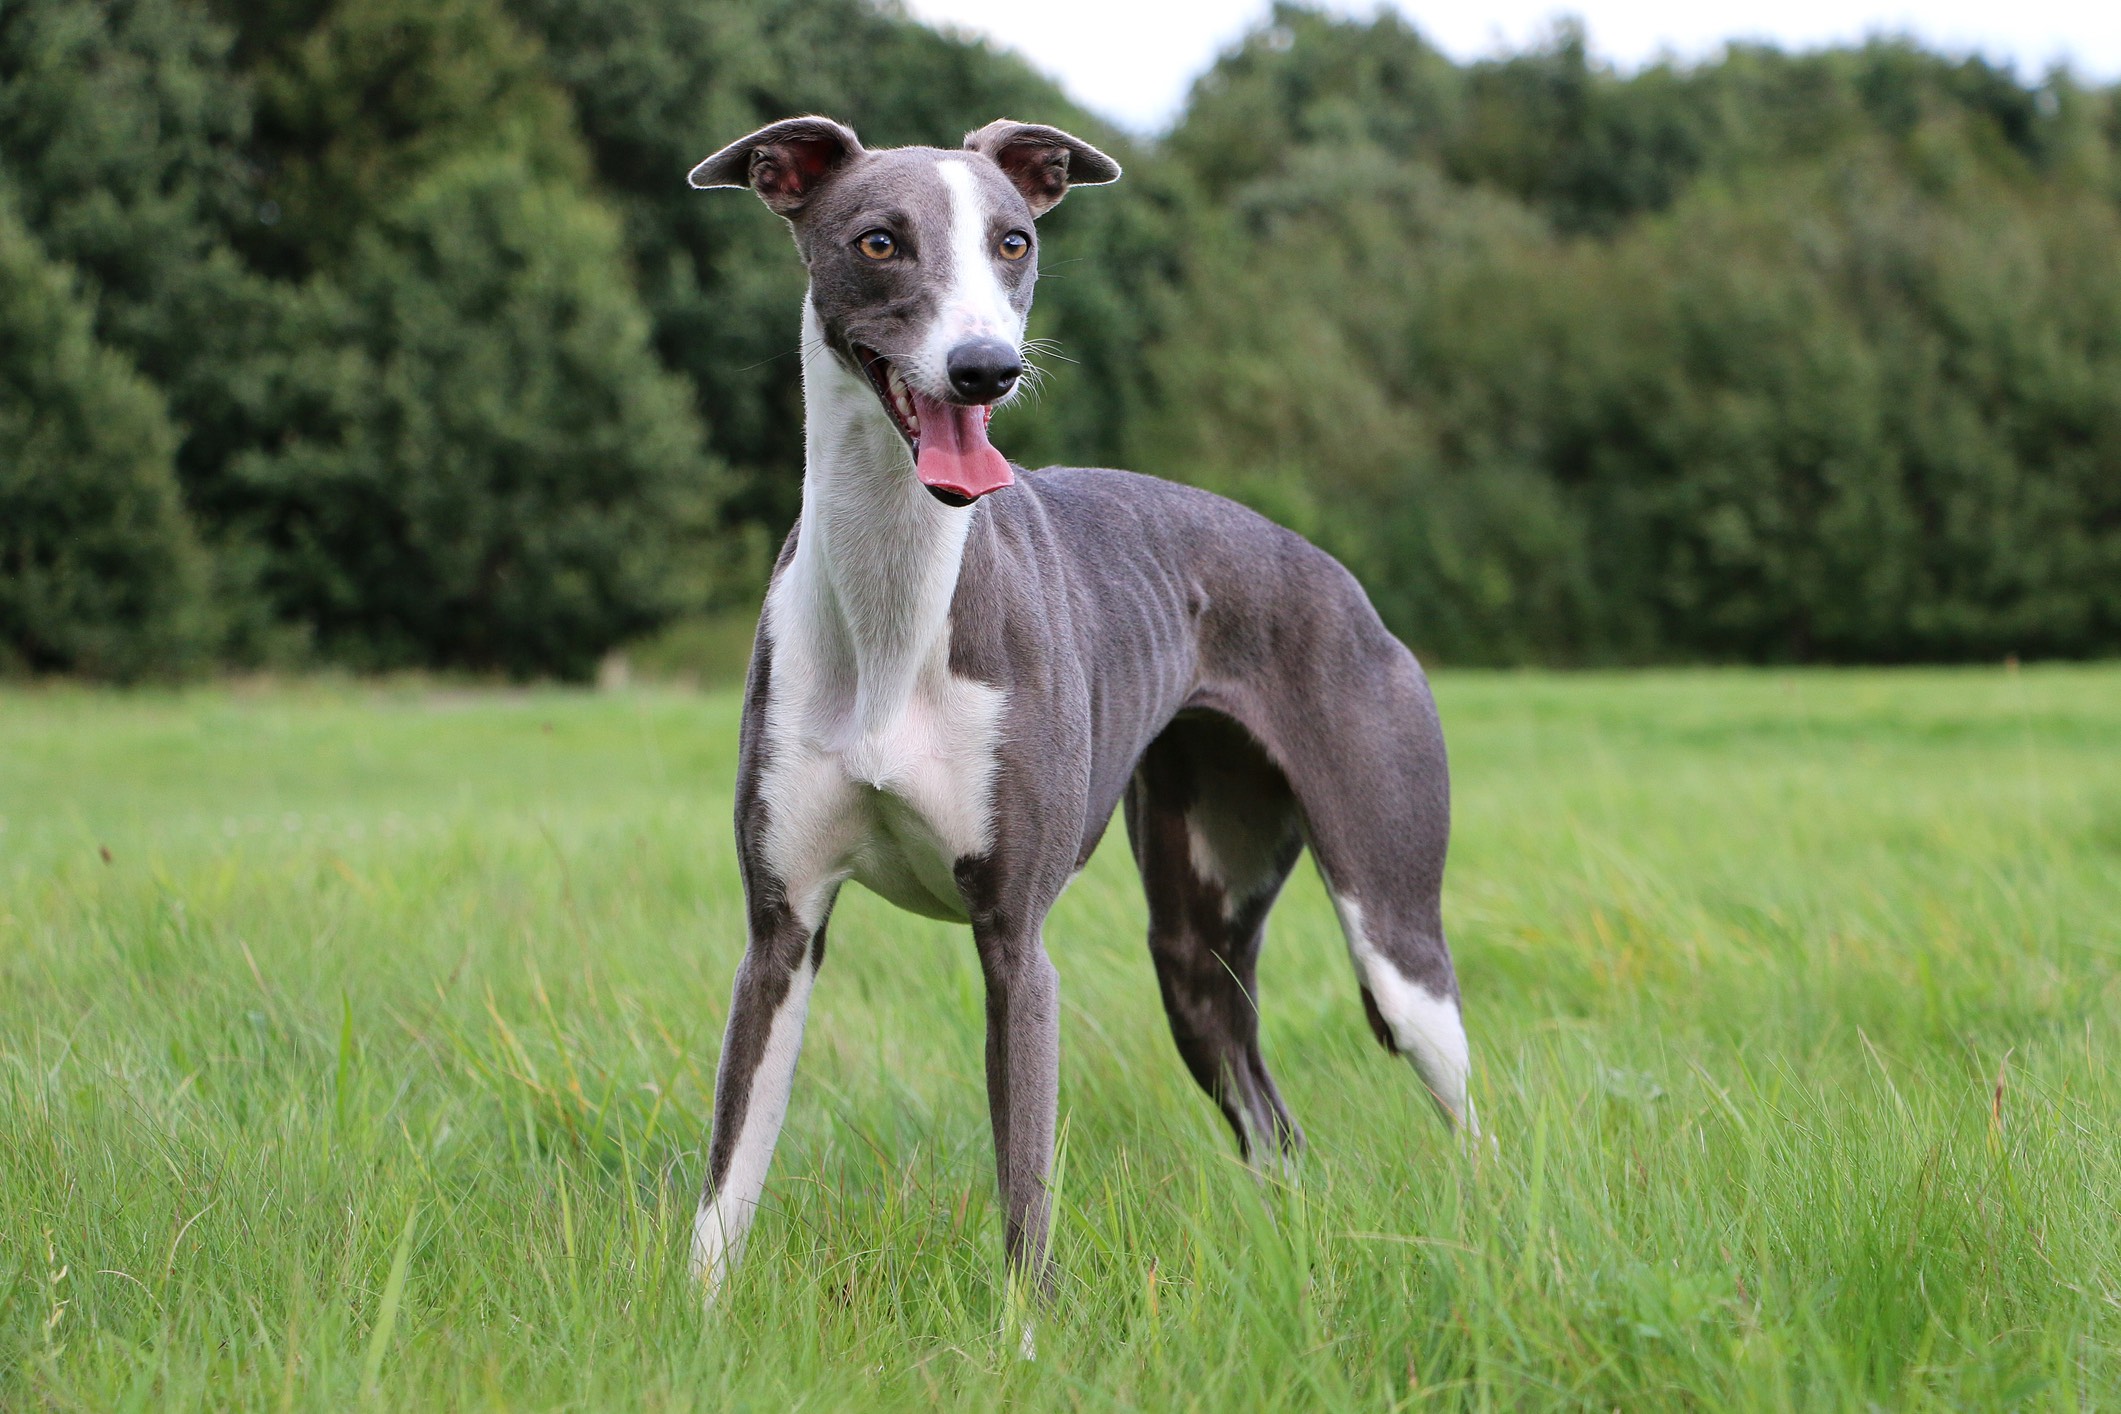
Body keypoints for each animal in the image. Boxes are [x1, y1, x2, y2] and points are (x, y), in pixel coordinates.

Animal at [682, 116, 1476, 1297]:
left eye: (1013, 240)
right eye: (878, 241)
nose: (985, 370)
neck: (893, 608)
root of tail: (1339, 579)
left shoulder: (1016, 939)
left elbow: (1025, 1192)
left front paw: (1019, 1330)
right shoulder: (779, 931)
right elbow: (726, 1185)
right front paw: (689, 1319)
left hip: (1393, 929)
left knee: (1468, 1115)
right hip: (1197, 957)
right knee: (1275, 1130)